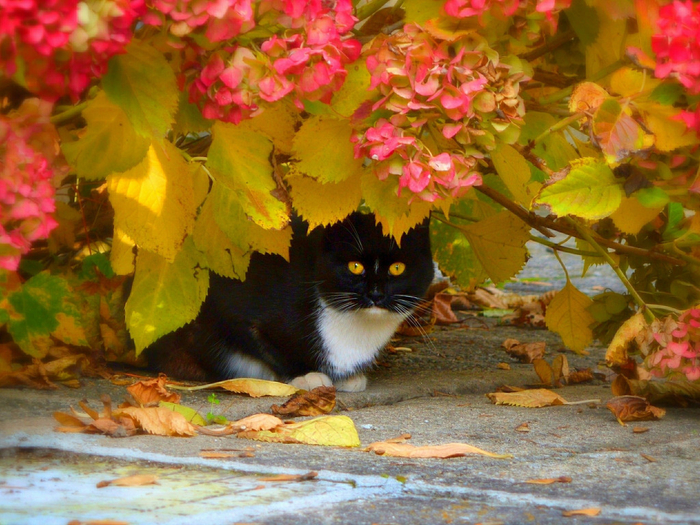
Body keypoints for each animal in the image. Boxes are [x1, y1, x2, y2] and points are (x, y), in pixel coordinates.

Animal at [145, 212, 434, 388]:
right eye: (355, 266)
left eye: (397, 268)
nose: (375, 294)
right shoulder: (236, 308)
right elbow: (266, 346)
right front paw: (304, 375)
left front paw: (348, 378)